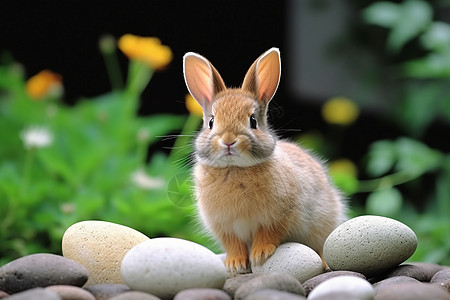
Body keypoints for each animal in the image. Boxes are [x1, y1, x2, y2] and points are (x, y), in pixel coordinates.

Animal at [181, 47, 346, 274]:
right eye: (211, 122)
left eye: (253, 121)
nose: (228, 140)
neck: (235, 168)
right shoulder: (224, 227)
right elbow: (233, 244)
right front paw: (235, 264)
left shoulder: (279, 216)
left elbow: (268, 233)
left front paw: (260, 254)